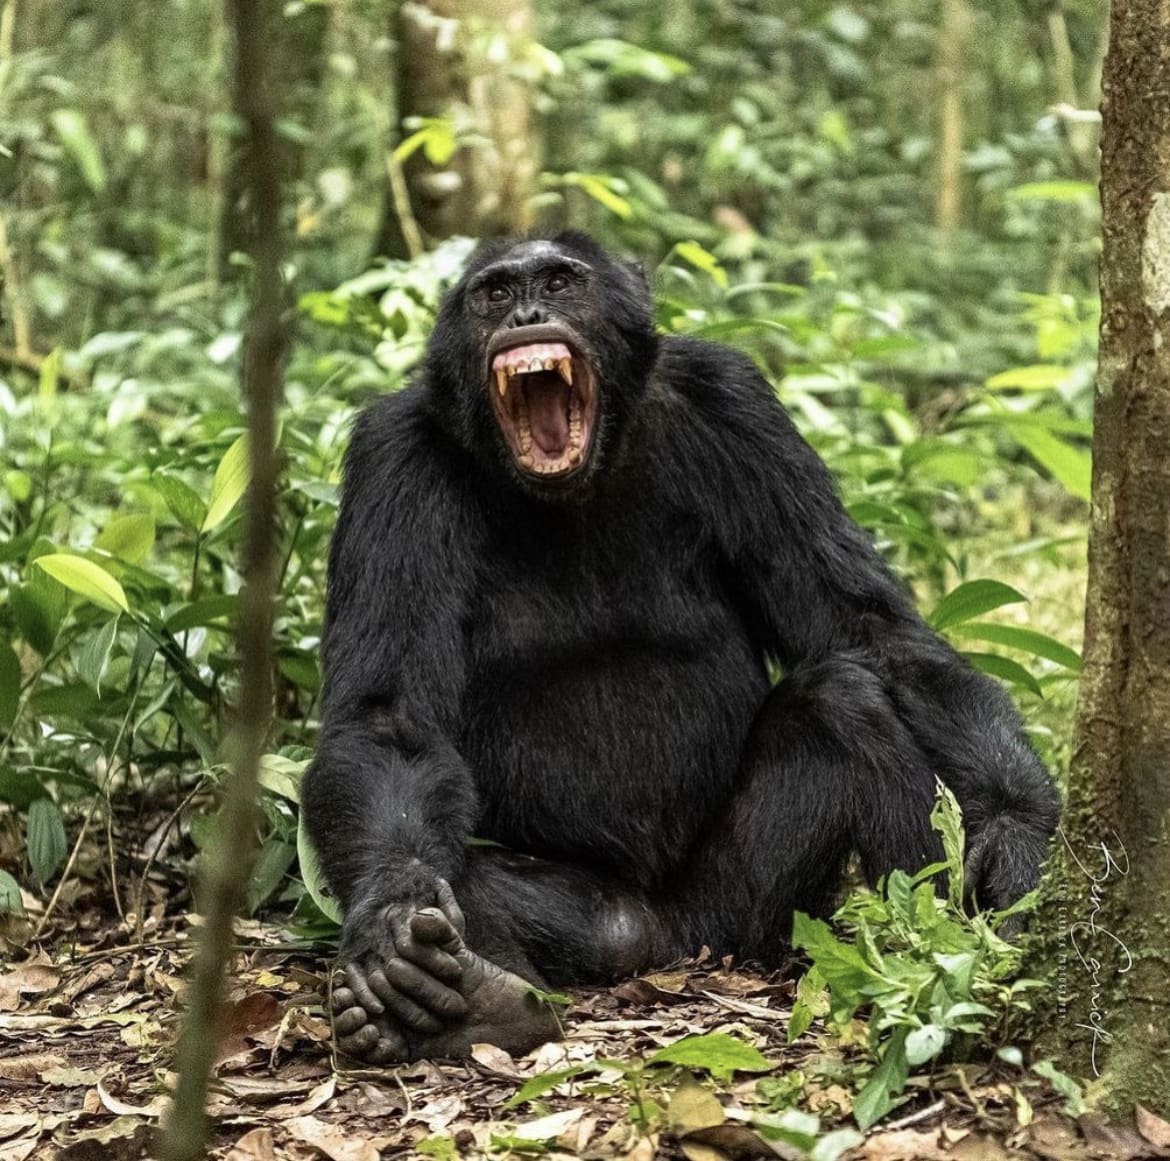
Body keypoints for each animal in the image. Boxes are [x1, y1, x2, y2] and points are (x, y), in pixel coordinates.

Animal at [301, 231, 1062, 1067]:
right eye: (494, 294)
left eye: (560, 282)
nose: (526, 313)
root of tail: (671, 948)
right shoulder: (393, 460)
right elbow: (390, 718)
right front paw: (394, 916)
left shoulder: (736, 404)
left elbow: (867, 626)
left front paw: (1018, 832)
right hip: (606, 921)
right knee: (472, 882)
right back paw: (466, 1003)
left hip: (750, 907)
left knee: (845, 700)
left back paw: (923, 952)